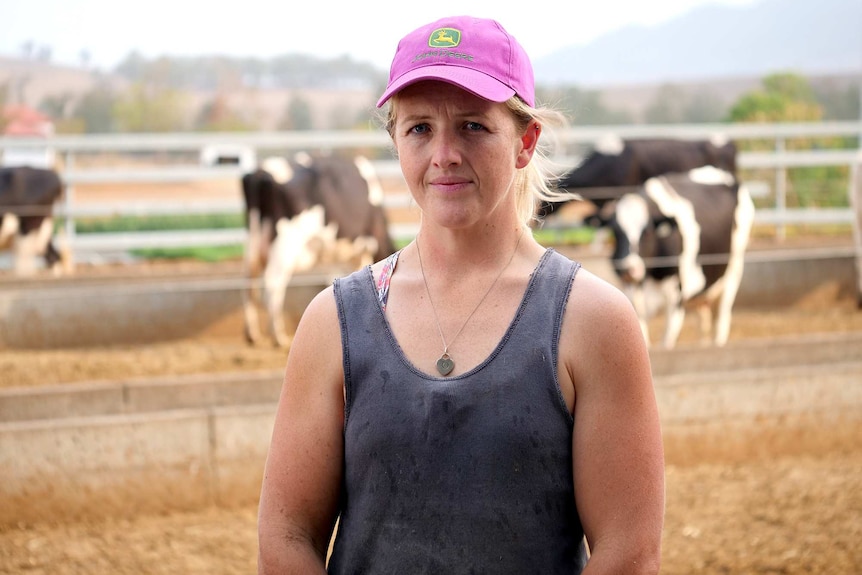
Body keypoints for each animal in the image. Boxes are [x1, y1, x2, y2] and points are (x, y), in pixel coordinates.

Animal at [243, 152, 398, 346]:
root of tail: (261, 171)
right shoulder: (365, 249)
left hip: (253, 244)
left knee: (250, 282)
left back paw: (253, 334)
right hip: (284, 245)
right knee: (272, 285)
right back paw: (278, 336)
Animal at [608, 164, 756, 348]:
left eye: (647, 231)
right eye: (615, 231)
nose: (628, 269)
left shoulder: (676, 296)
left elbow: (667, 340)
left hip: (734, 267)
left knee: (723, 315)